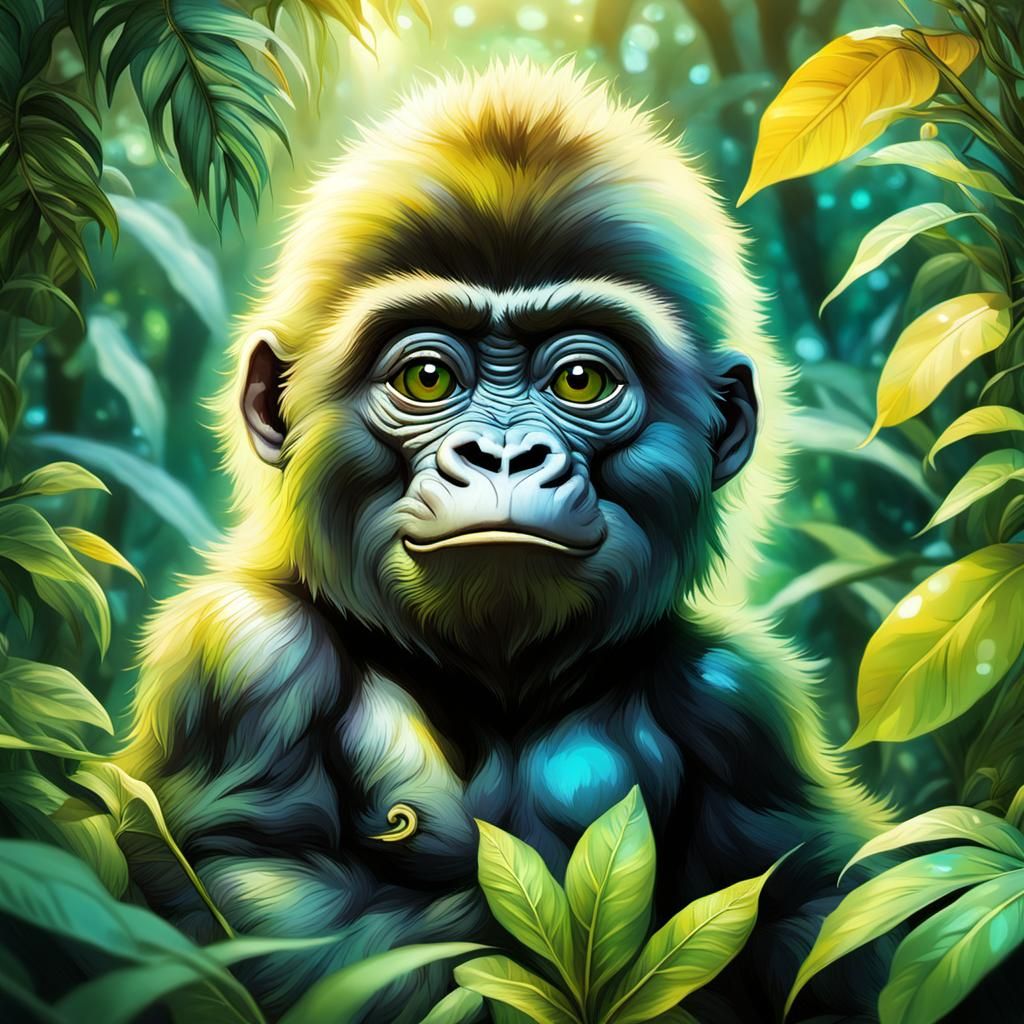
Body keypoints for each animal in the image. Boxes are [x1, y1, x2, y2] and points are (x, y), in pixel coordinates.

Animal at [118, 60, 898, 1022]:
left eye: (582, 379)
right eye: (425, 376)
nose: (503, 454)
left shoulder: (738, 704)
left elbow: (822, 916)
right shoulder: (243, 657)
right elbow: (260, 904)